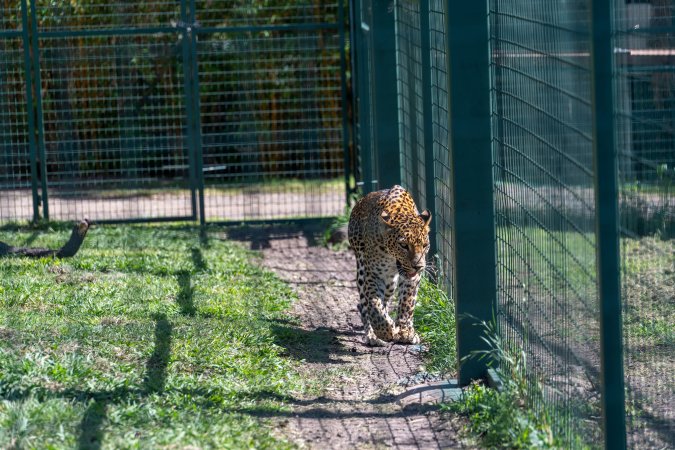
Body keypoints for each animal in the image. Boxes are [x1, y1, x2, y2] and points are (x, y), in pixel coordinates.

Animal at [348, 185, 432, 346]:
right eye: (403, 245)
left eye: (425, 245)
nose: (418, 266)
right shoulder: (373, 275)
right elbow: (374, 305)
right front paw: (385, 331)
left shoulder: (412, 278)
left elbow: (407, 303)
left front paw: (405, 332)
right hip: (361, 267)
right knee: (364, 304)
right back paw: (372, 336)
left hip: (389, 284)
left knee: (384, 301)